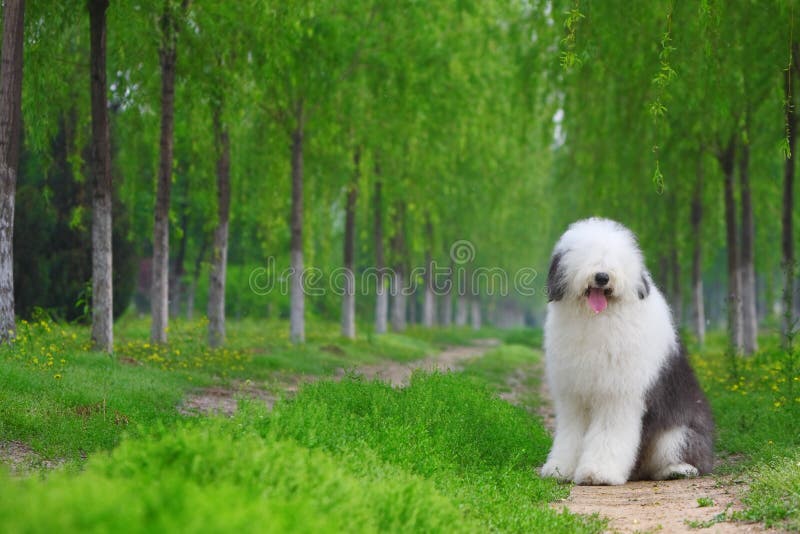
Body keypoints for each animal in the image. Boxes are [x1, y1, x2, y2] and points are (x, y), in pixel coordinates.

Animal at [540, 218, 716, 486]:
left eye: (615, 260)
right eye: (585, 255)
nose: (602, 277)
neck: (597, 319)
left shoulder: (617, 394)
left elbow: (608, 433)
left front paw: (598, 473)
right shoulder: (573, 396)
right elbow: (571, 433)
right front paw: (561, 469)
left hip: (677, 432)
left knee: (680, 454)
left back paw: (677, 469)